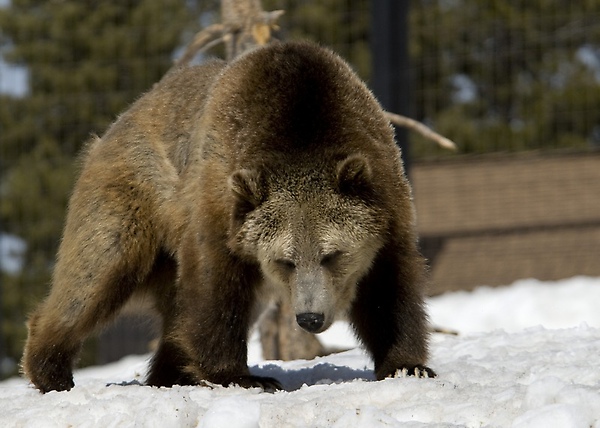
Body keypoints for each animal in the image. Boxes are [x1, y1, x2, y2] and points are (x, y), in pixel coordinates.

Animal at [22, 41, 436, 392]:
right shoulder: (219, 196)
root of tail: (116, 123)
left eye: (332, 255)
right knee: (96, 273)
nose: (310, 318)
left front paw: (407, 365)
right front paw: (240, 376)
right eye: (285, 260)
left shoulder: (386, 199)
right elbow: (215, 284)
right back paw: (52, 370)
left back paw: (171, 374)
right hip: (132, 193)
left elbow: (389, 287)